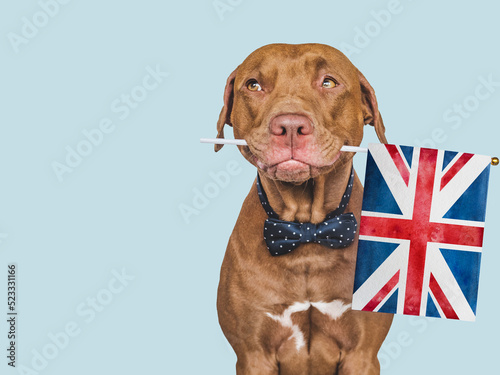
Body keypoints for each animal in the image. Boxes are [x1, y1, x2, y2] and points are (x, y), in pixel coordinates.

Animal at [215, 43, 394, 374]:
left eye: (328, 82)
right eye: (254, 85)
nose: (289, 126)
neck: (307, 228)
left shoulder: (362, 353)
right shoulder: (253, 354)